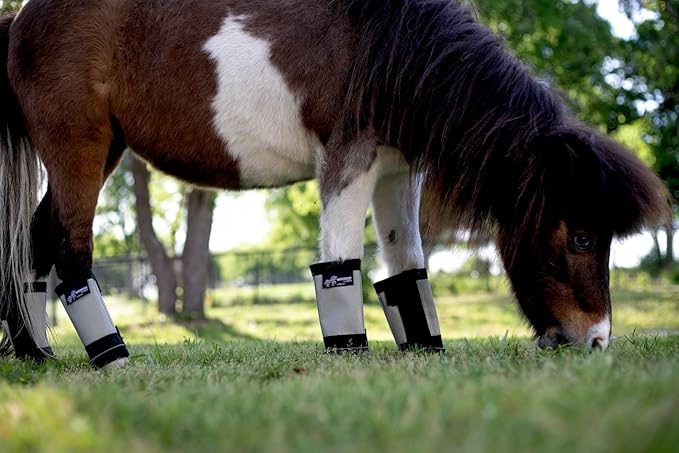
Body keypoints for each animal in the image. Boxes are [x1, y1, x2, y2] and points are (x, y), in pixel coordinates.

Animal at [0, 0, 669, 367]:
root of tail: (22, 17)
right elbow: (340, 262)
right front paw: (350, 352)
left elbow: (407, 268)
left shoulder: (398, 173)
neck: (390, 50)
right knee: (70, 251)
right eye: (581, 237)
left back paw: (37, 354)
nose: (597, 342)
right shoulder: (349, 164)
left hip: (101, 152)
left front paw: (423, 350)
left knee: (33, 244)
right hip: (79, 151)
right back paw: (111, 359)